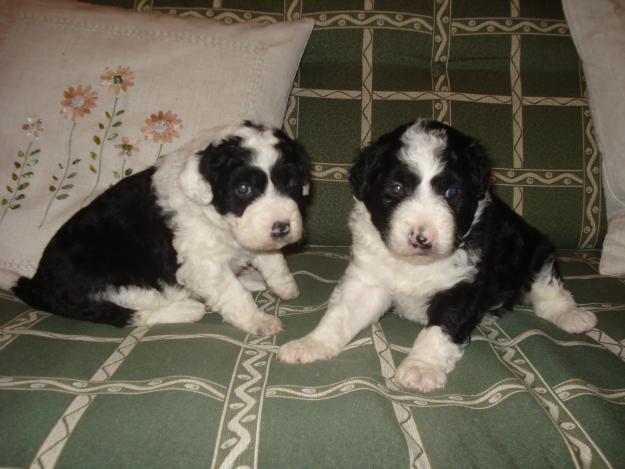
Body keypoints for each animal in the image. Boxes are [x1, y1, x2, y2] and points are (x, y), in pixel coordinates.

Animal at [3, 120, 308, 332]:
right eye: (243, 189)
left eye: (291, 183)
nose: (281, 227)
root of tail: (38, 282)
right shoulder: (202, 263)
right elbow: (233, 293)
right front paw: (259, 321)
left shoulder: (253, 237)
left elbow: (271, 257)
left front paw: (284, 285)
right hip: (110, 278)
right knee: (128, 312)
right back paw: (187, 308)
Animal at [280, 117, 596, 392]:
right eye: (395, 188)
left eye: (452, 191)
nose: (422, 238)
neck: (416, 264)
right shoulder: (368, 279)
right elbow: (341, 315)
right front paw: (311, 344)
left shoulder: (463, 287)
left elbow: (439, 329)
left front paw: (421, 369)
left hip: (536, 250)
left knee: (549, 291)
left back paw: (574, 317)